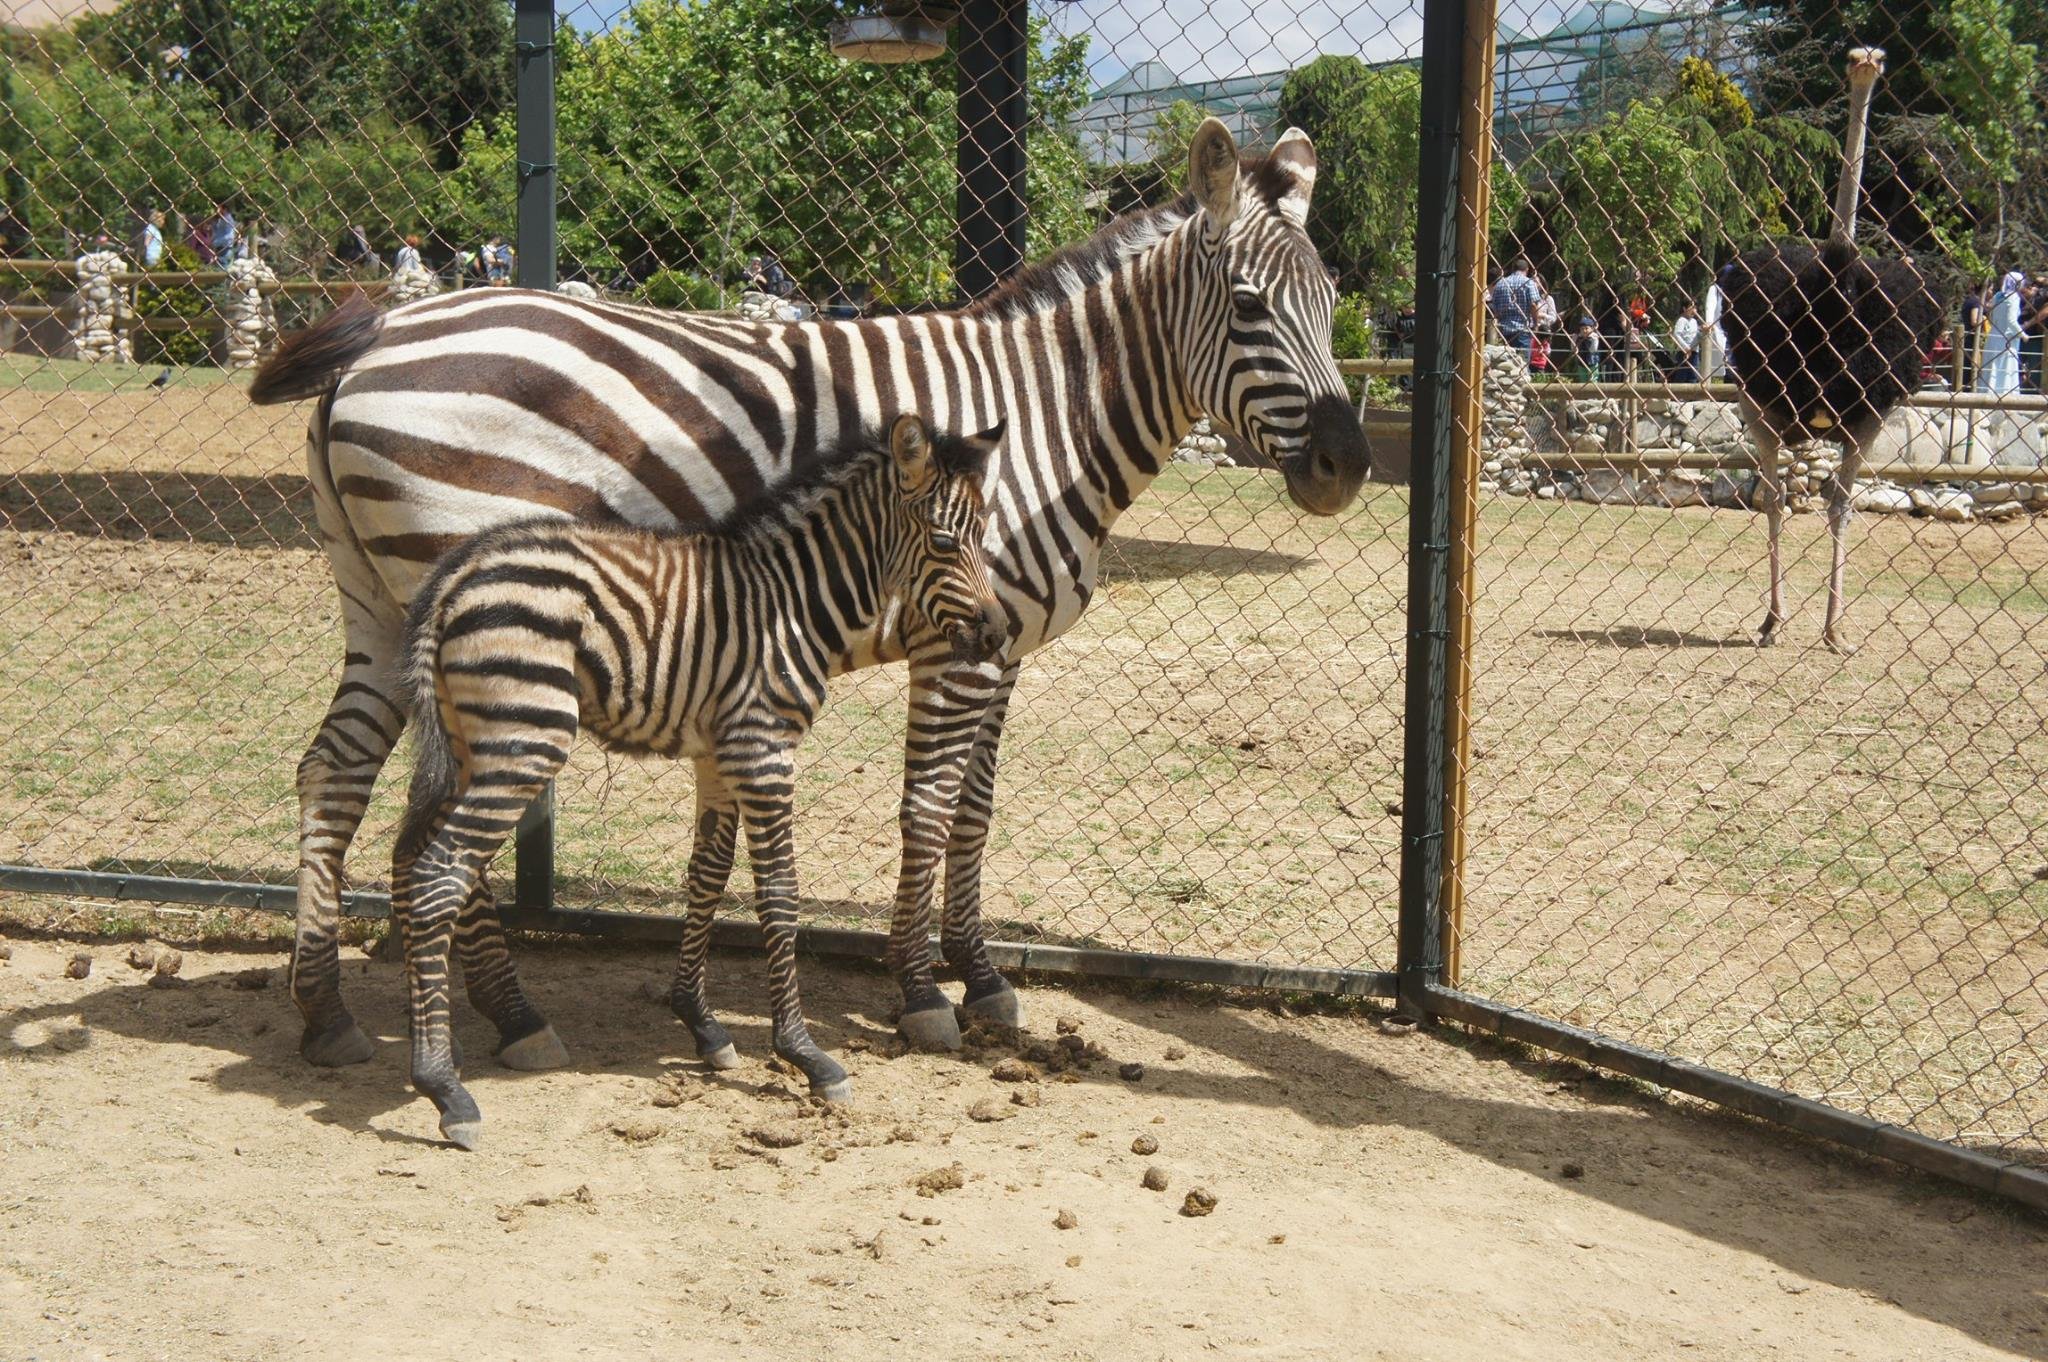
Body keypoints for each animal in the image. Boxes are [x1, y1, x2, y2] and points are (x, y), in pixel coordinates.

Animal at [260, 122, 1376, 1065]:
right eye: (1248, 306)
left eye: (1330, 308)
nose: (1348, 467)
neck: (1044, 419)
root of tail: (378, 338)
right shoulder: (958, 644)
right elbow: (929, 808)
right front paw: (922, 993)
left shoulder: (1001, 642)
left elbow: (976, 813)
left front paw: (981, 980)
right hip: (473, 602)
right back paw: (513, 1014)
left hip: (385, 602)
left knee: (334, 772)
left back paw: (329, 1012)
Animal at [389, 417, 999, 1146]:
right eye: (945, 543)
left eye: (985, 536)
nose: (997, 635)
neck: (794, 601)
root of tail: (458, 574)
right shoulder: (764, 749)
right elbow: (780, 895)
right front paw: (805, 1055)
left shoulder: (719, 754)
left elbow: (706, 875)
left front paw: (701, 1025)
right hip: (525, 739)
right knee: (440, 874)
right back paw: (445, 1089)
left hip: (463, 743)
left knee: (408, 859)